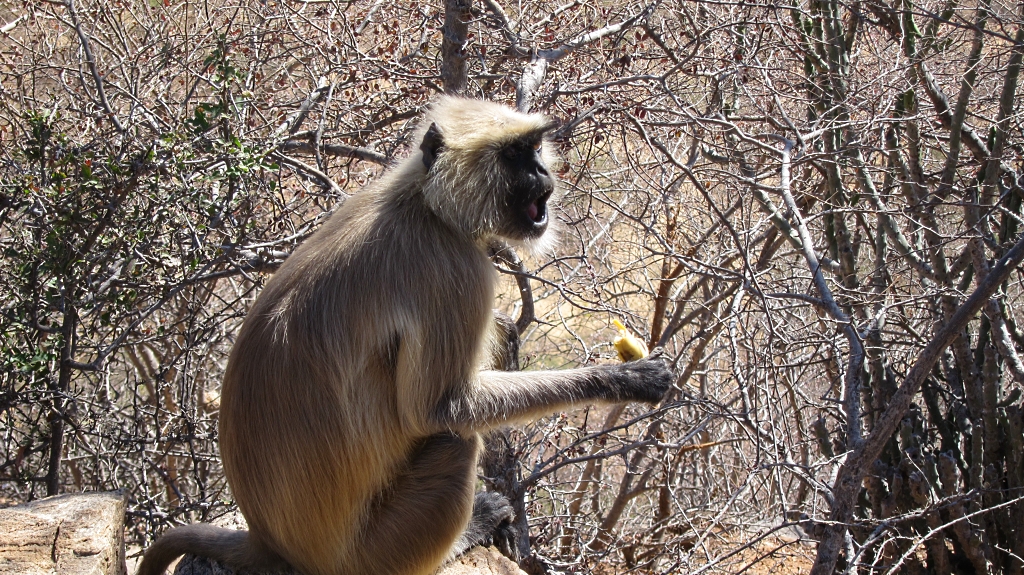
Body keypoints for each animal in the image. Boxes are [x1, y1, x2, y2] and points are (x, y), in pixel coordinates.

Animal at [138, 97, 679, 572]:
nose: (543, 174)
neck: (424, 203)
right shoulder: (456, 270)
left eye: (533, 148)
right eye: (512, 156)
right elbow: (439, 409)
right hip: (374, 551)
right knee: (456, 442)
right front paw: (625, 378)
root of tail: (270, 541)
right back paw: (466, 534)